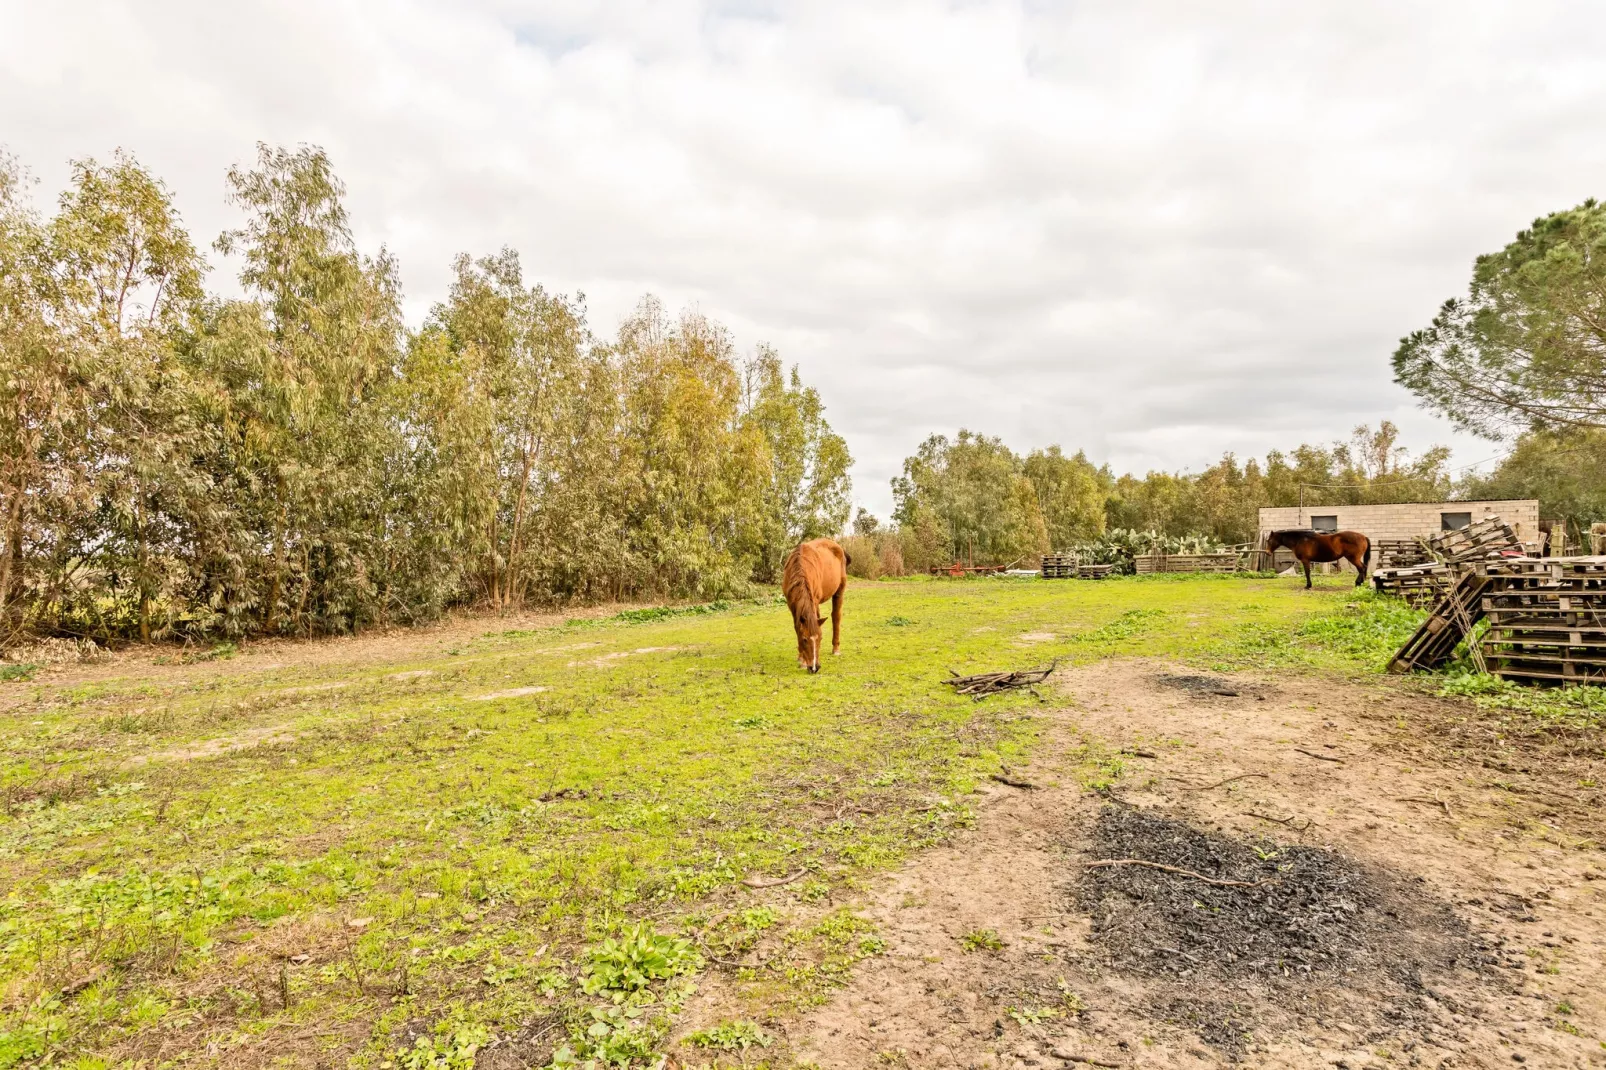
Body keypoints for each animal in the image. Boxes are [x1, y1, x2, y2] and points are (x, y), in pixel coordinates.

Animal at [780, 536, 847, 671]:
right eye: (805, 639)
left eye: (820, 638)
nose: (815, 667)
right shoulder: (792, 606)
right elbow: (797, 628)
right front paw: (801, 659)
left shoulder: (814, 601)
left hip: (839, 591)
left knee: (836, 616)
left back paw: (836, 649)